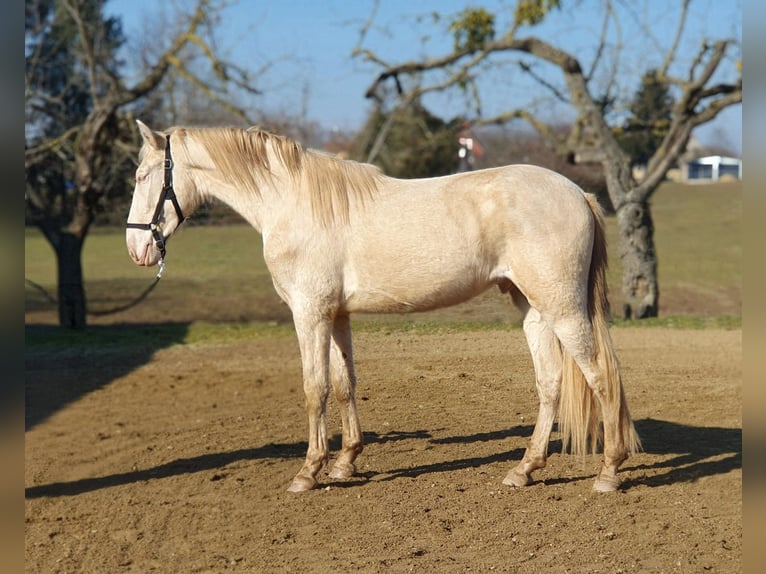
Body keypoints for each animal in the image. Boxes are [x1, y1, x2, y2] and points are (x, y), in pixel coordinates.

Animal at [126, 121, 640, 496]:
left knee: (600, 374)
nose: (137, 249)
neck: (292, 203)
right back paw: (524, 470)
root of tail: (577, 193)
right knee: (550, 383)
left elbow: (314, 389)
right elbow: (344, 385)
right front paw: (345, 463)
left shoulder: (309, 314)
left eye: (142, 176)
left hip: (562, 308)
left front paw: (308, 472)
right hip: (533, 308)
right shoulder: (336, 316)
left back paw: (608, 474)